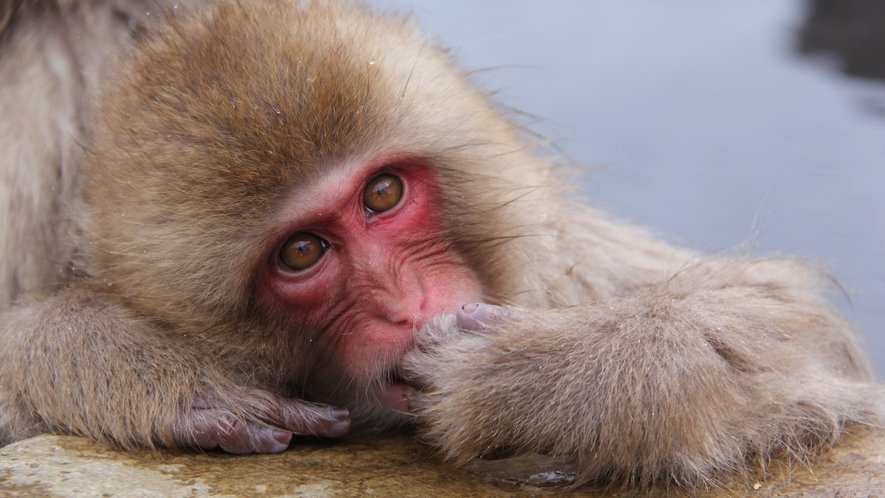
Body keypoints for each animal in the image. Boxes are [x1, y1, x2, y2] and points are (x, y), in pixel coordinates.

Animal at [0, 0, 876, 486]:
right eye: (300, 253)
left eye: (382, 194)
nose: (403, 302)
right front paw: (129, 363)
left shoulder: (568, 264)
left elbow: (801, 337)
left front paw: (541, 377)